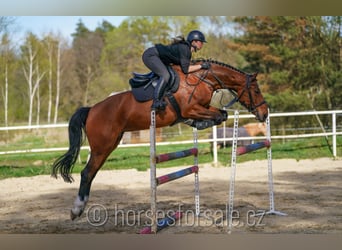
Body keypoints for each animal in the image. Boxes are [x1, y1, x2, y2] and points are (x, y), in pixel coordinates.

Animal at [52, 58, 268, 219]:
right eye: (257, 90)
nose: (265, 114)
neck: (201, 78)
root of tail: (92, 109)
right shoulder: (191, 108)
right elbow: (220, 115)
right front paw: (199, 123)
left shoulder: (200, 108)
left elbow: (221, 114)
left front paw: (197, 124)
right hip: (102, 146)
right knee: (87, 173)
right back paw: (76, 209)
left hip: (109, 145)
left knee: (92, 172)